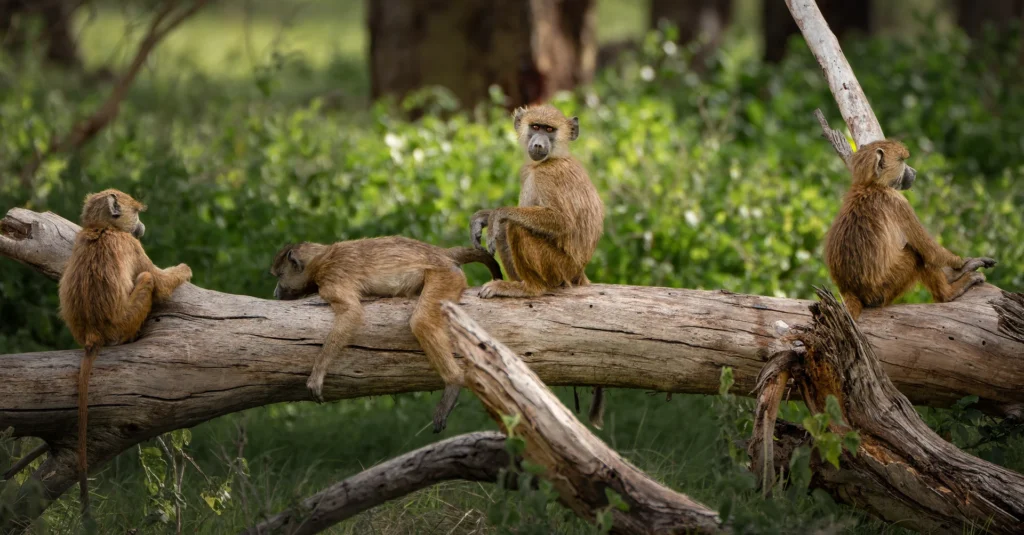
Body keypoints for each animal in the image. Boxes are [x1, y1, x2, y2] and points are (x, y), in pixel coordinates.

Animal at [58, 189, 193, 516]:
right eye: (138, 212)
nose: (141, 226)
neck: (102, 228)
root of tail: (94, 335)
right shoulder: (133, 246)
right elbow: (159, 281)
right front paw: (185, 270)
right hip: (125, 322)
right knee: (146, 280)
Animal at [269, 236, 503, 433]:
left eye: (280, 276)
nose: (275, 292)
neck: (321, 258)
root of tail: (439, 252)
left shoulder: (331, 277)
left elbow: (351, 313)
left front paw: (318, 374)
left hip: (446, 275)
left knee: (422, 322)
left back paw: (453, 381)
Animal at [468, 104, 608, 428]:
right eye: (535, 127)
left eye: (549, 130)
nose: (538, 144)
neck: (552, 158)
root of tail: (578, 271)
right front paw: (483, 217)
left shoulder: (548, 175)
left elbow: (559, 221)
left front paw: (496, 214)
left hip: (558, 267)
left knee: (514, 227)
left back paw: (529, 289)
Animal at [823, 139, 996, 321]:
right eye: (903, 161)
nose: (914, 172)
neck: (870, 185)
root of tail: (850, 290)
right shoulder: (898, 202)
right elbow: (929, 251)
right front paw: (962, 265)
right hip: (883, 290)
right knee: (916, 255)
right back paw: (949, 293)